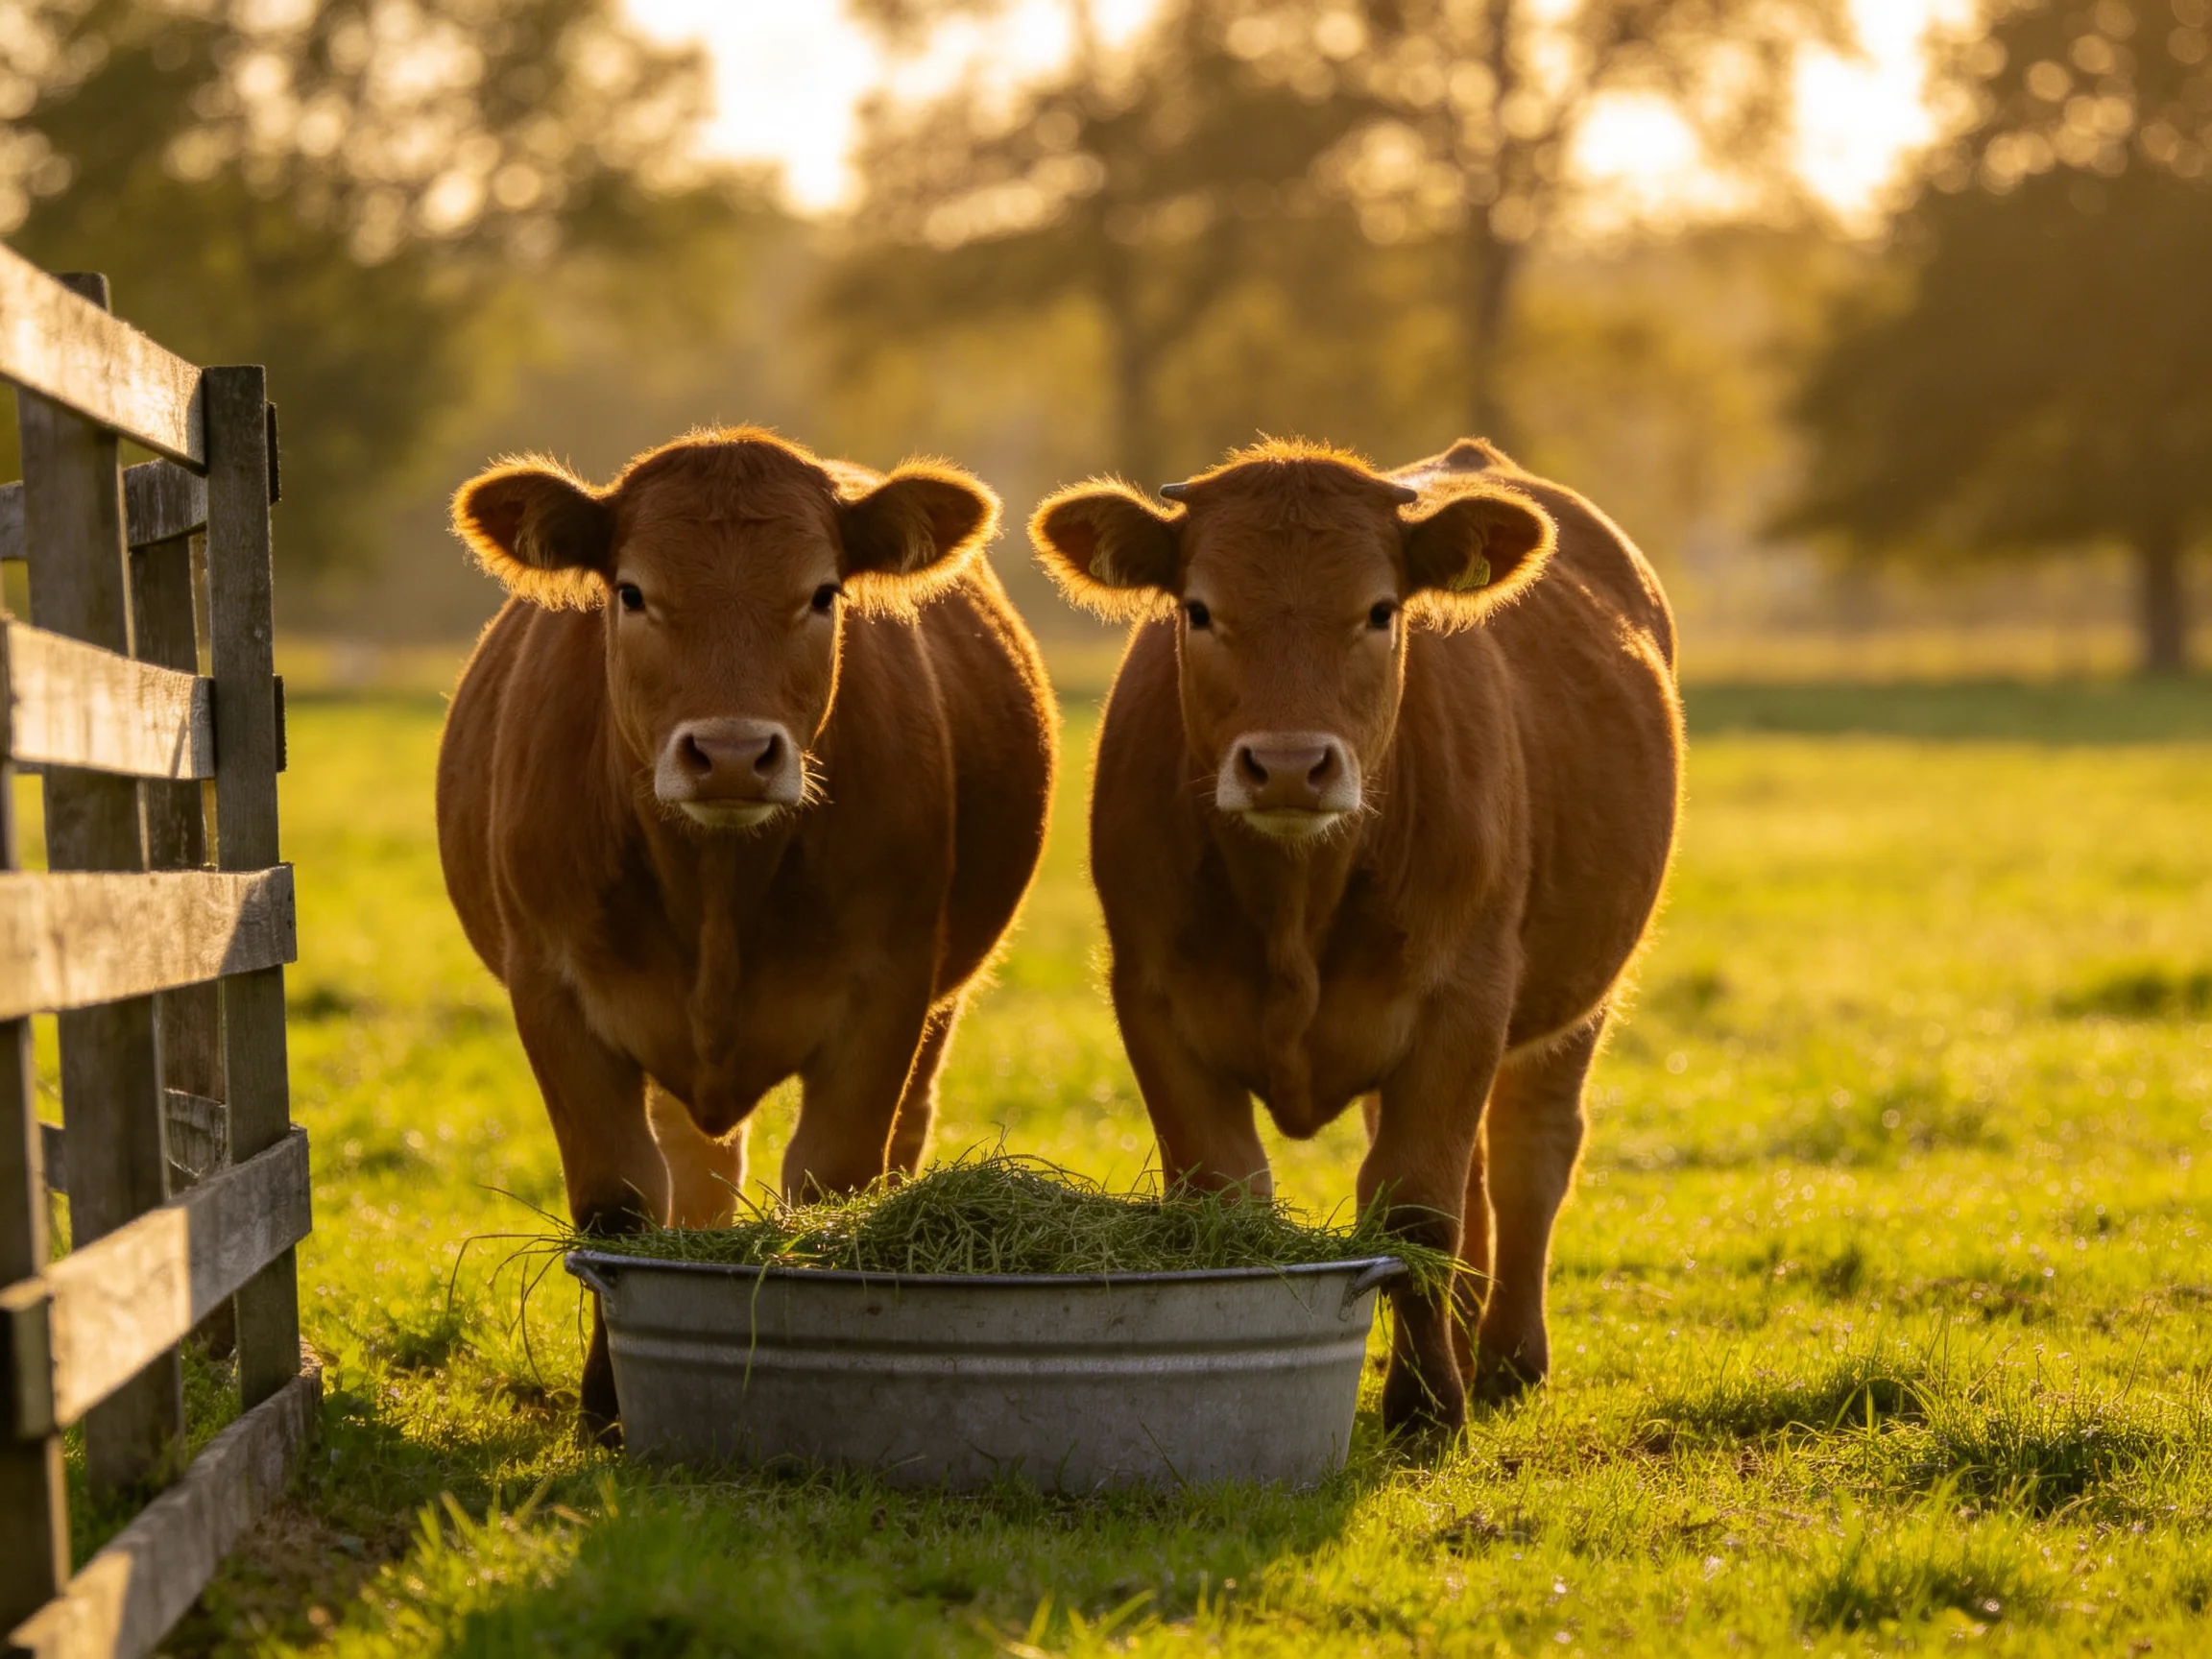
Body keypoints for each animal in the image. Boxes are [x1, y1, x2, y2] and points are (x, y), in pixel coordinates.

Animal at [439, 428, 1057, 1439]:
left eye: (822, 593)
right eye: (632, 591)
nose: (730, 753)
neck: (717, 892)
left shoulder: (888, 991)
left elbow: (832, 1187)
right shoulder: (550, 989)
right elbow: (618, 1201)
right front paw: (609, 1404)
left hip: (943, 1002)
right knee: (694, 1169)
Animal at [1030, 437, 1680, 1431]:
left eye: (1380, 610)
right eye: (1199, 609)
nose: (1289, 764)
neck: (1296, 905)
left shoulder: (1465, 997)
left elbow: (1413, 1209)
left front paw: (1425, 1407)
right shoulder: (1152, 998)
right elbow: (1228, 1195)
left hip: (1576, 998)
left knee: (1528, 1152)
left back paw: (1505, 1358)